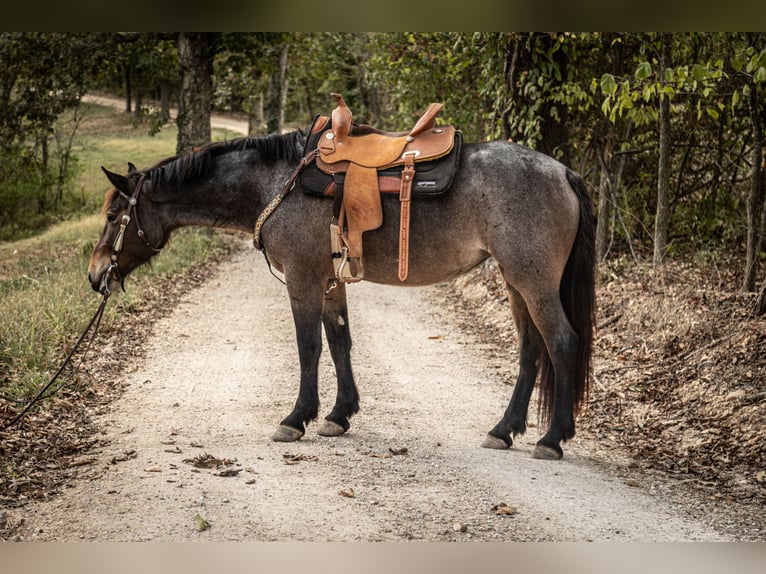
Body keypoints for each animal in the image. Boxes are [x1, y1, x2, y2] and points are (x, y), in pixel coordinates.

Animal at [87, 124, 596, 461]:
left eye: (113, 216)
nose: (95, 275)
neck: (276, 184)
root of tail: (564, 172)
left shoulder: (302, 279)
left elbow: (308, 346)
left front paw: (297, 418)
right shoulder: (330, 283)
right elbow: (339, 342)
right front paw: (339, 413)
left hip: (532, 281)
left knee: (561, 342)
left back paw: (552, 439)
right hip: (516, 282)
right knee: (531, 350)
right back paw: (505, 429)